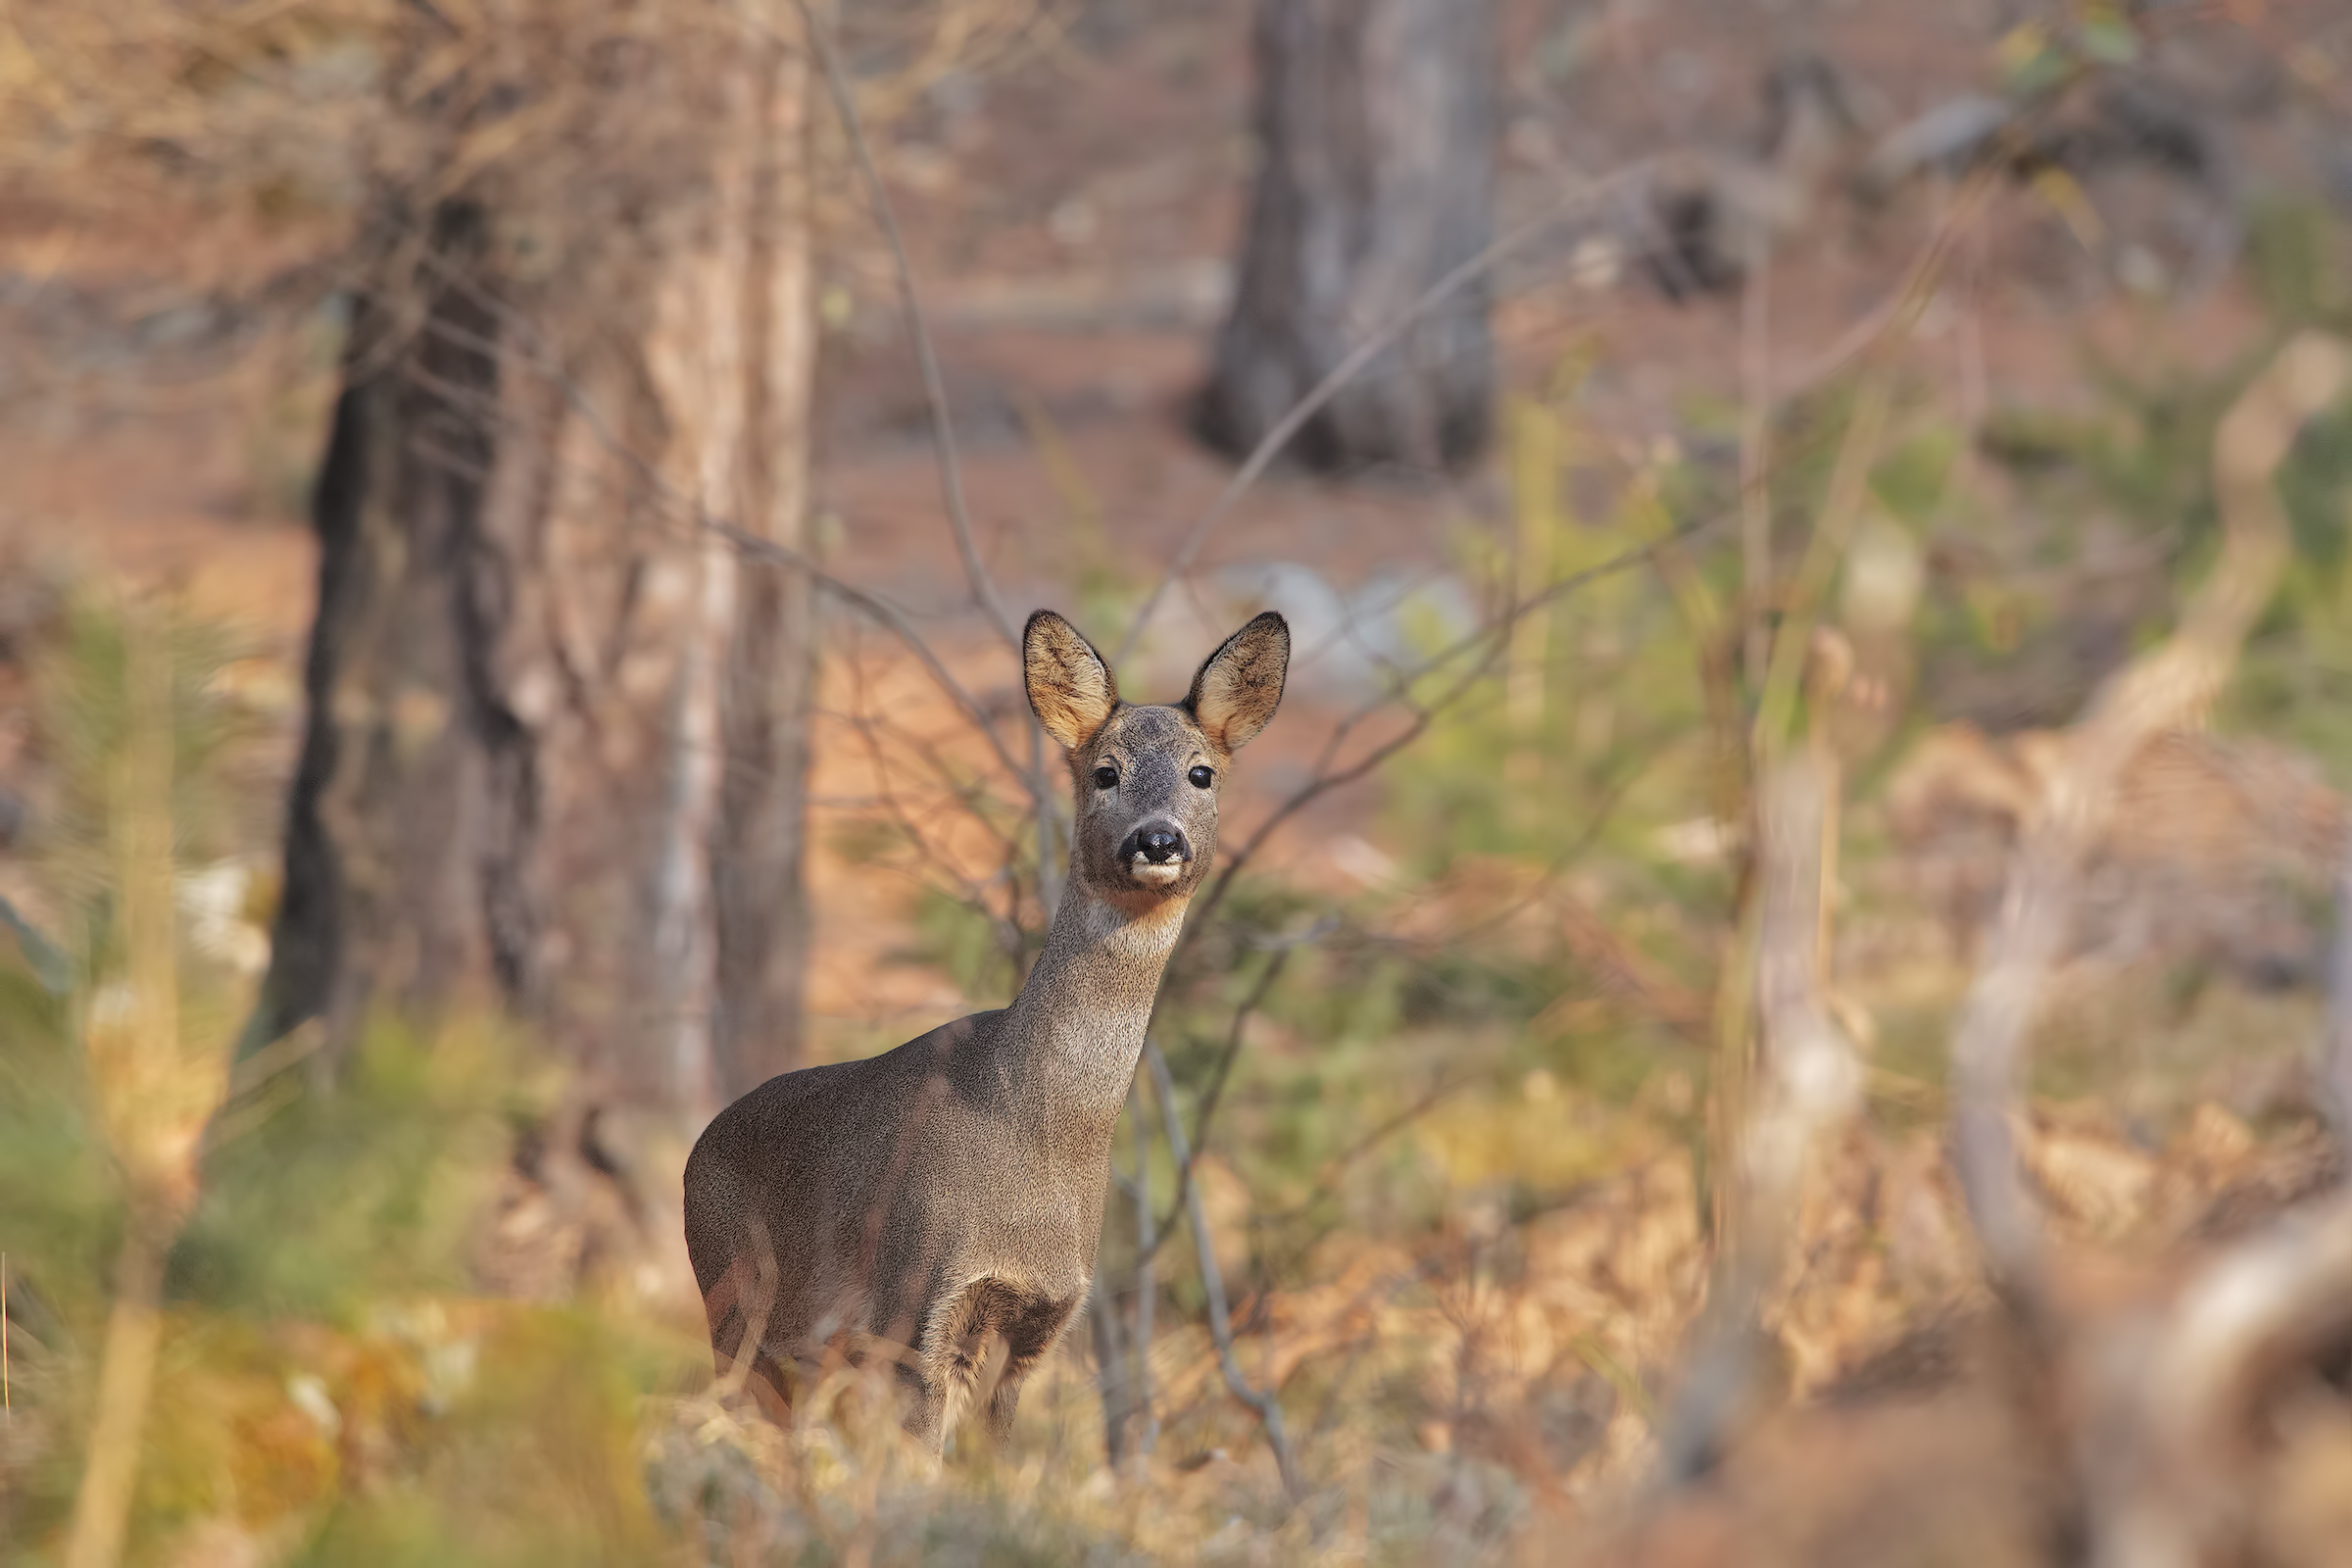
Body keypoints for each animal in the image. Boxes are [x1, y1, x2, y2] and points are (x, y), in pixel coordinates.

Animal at [683, 607, 1289, 1452]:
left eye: (1202, 773)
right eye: (1105, 772)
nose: (1158, 840)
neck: (1036, 1130)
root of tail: (696, 1147)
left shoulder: (1034, 1327)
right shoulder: (916, 1307)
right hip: (737, 1310)